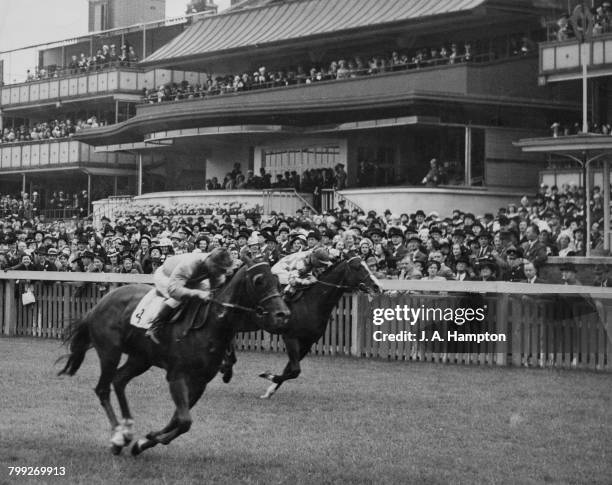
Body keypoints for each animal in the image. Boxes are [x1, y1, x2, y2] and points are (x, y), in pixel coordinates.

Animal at [58, 255, 290, 456]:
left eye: (278, 281)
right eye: (259, 280)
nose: (283, 314)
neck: (212, 324)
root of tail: (97, 305)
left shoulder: (200, 381)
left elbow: (178, 419)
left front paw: (143, 442)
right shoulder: (176, 375)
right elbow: (185, 421)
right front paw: (148, 439)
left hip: (140, 359)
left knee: (119, 380)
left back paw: (127, 430)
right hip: (110, 353)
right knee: (103, 388)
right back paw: (117, 437)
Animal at [222, 253, 380, 398]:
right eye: (358, 267)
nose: (377, 286)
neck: (313, 302)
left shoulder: (307, 342)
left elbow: (291, 370)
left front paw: (269, 390)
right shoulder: (290, 337)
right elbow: (295, 370)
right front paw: (267, 376)